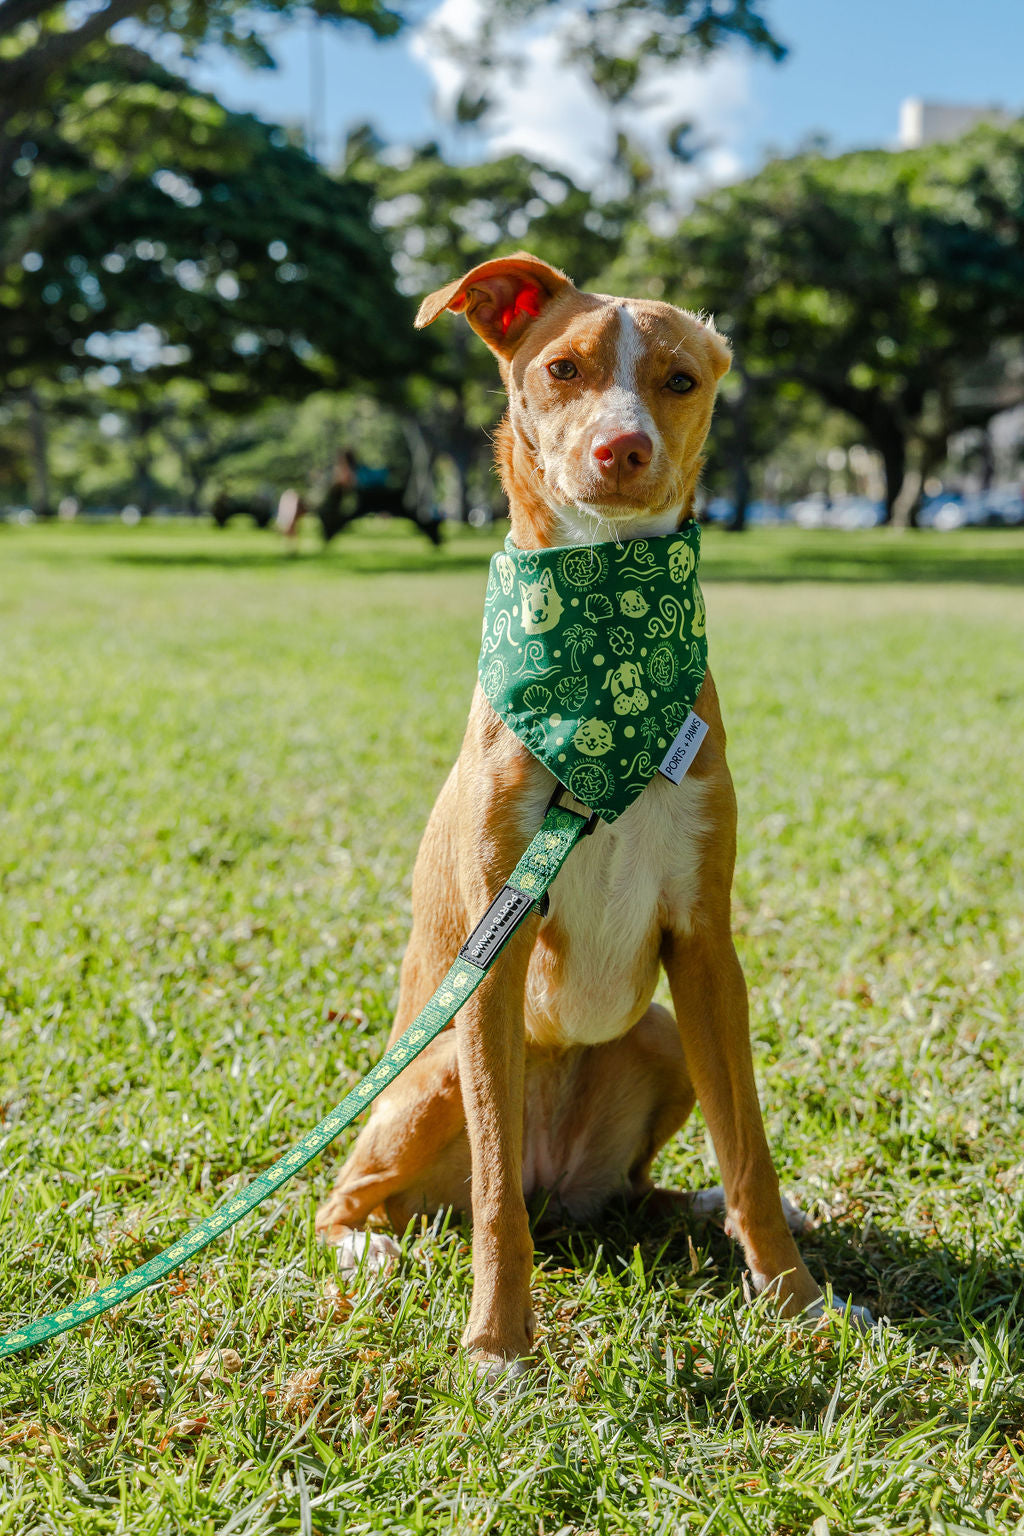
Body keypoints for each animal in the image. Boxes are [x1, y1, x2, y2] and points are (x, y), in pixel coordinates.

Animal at [316, 254, 872, 1370]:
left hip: (656, 1035)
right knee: (364, 1196)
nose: (623, 449)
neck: (609, 629)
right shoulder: (494, 958)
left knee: (633, 1186)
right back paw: (371, 1250)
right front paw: (498, 1344)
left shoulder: (706, 949)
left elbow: (751, 1153)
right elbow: (494, 1202)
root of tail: (560, 1179)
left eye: (680, 380)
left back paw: (686, 1208)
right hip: (435, 1071)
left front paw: (795, 1299)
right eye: (562, 369)